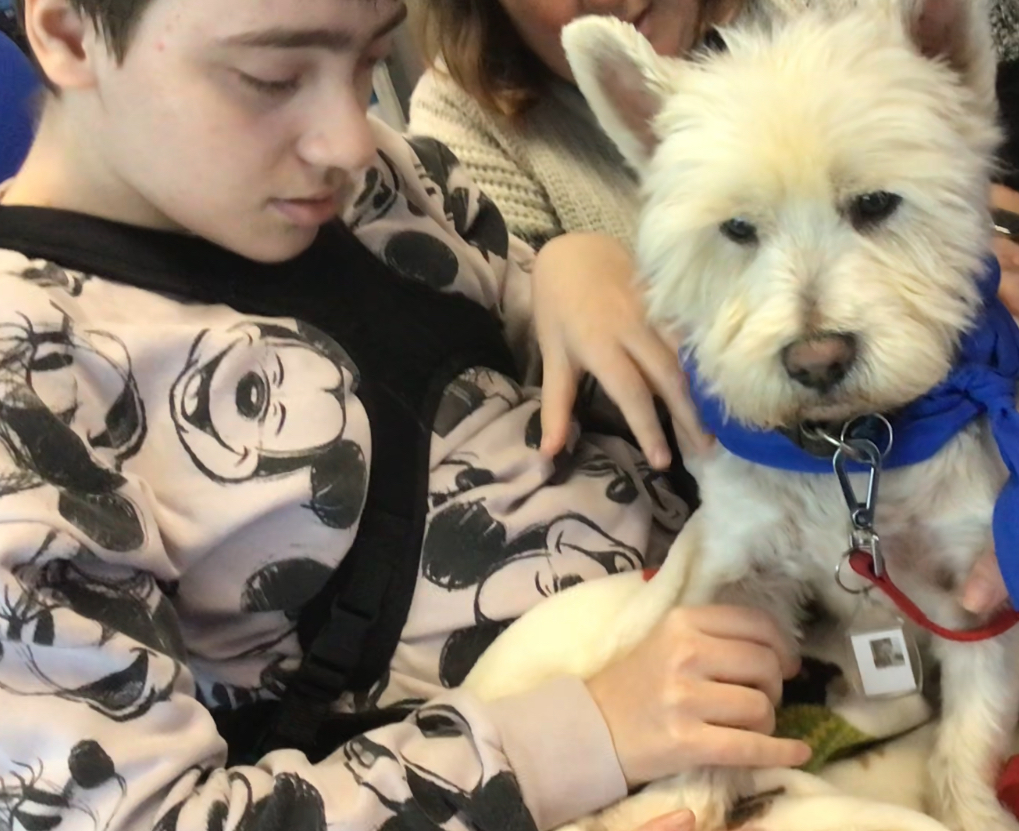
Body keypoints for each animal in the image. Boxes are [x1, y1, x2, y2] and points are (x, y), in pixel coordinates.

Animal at [461, 1, 1019, 829]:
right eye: (736, 228)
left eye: (875, 204)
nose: (815, 359)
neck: (849, 450)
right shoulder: (740, 576)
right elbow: (713, 703)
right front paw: (683, 795)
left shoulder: (974, 587)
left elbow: (971, 727)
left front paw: (972, 809)